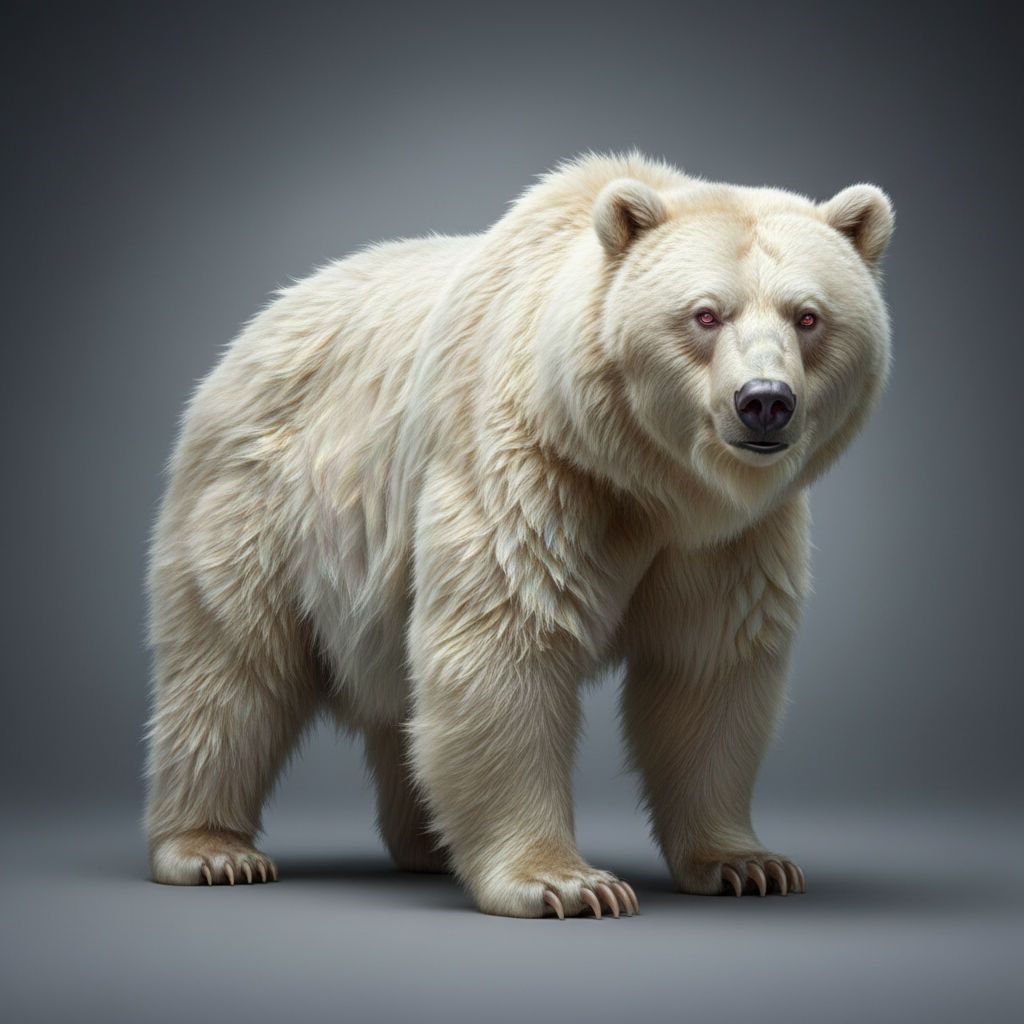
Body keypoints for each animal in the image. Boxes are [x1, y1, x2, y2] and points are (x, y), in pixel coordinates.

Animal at [144, 152, 893, 918]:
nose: (765, 401)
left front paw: (747, 863)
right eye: (706, 313)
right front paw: (567, 882)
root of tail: (257, 327)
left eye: (809, 316)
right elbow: (506, 642)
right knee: (233, 669)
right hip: (258, 503)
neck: (652, 482)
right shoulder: (531, 468)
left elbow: (710, 670)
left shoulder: (730, 540)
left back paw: (427, 844)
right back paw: (211, 849)